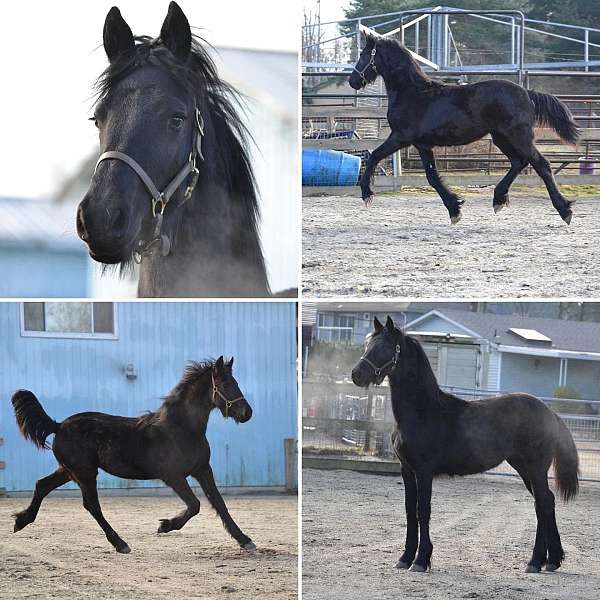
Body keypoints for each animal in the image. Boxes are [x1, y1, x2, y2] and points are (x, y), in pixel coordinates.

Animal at [11, 356, 255, 552]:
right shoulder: (173, 476)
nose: (247, 413)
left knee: (42, 485)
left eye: (236, 383)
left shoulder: (203, 469)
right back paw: (120, 544)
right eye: (225, 384)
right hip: (84, 473)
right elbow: (195, 505)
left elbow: (219, 504)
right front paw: (165, 526)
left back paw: (21, 521)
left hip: (68, 470)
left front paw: (245, 540)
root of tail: (58, 425)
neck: (182, 429)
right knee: (92, 505)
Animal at [350, 33, 580, 225]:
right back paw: (499, 199)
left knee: (541, 164)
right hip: (501, 138)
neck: (413, 92)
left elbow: (374, 156)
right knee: (519, 162)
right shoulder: (422, 144)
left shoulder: (400, 137)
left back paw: (565, 210)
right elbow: (432, 176)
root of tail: (527, 93)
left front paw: (367, 194)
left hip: (518, 137)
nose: (352, 81)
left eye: (363, 54)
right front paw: (455, 209)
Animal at [350, 316, 580, 576]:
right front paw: (405, 558)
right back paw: (550, 560)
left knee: (543, 504)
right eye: (367, 345)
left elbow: (423, 511)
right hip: (524, 469)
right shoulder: (406, 470)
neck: (423, 411)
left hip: (535, 469)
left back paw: (535, 561)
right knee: (545, 504)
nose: (356, 374)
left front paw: (421, 560)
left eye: (384, 347)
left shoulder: (424, 471)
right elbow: (410, 511)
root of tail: (549, 412)